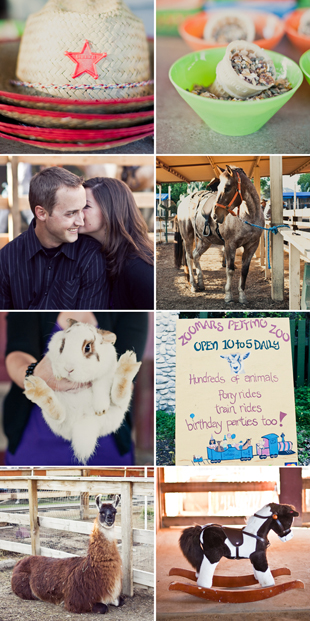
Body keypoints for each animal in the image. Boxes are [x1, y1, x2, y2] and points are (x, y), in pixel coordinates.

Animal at [174, 163, 264, 302]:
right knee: (189, 258)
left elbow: (244, 270)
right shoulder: (230, 244)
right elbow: (230, 270)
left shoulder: (252, 246)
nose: (214, 215)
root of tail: (182, 202)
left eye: (227, 188)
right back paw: (194, 285)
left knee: (196, 255)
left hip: (205, 241)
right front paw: (228, 295)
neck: (249, 216)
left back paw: (201, 283)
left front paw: (242, 296)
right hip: (188, 237)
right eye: (219, 187)